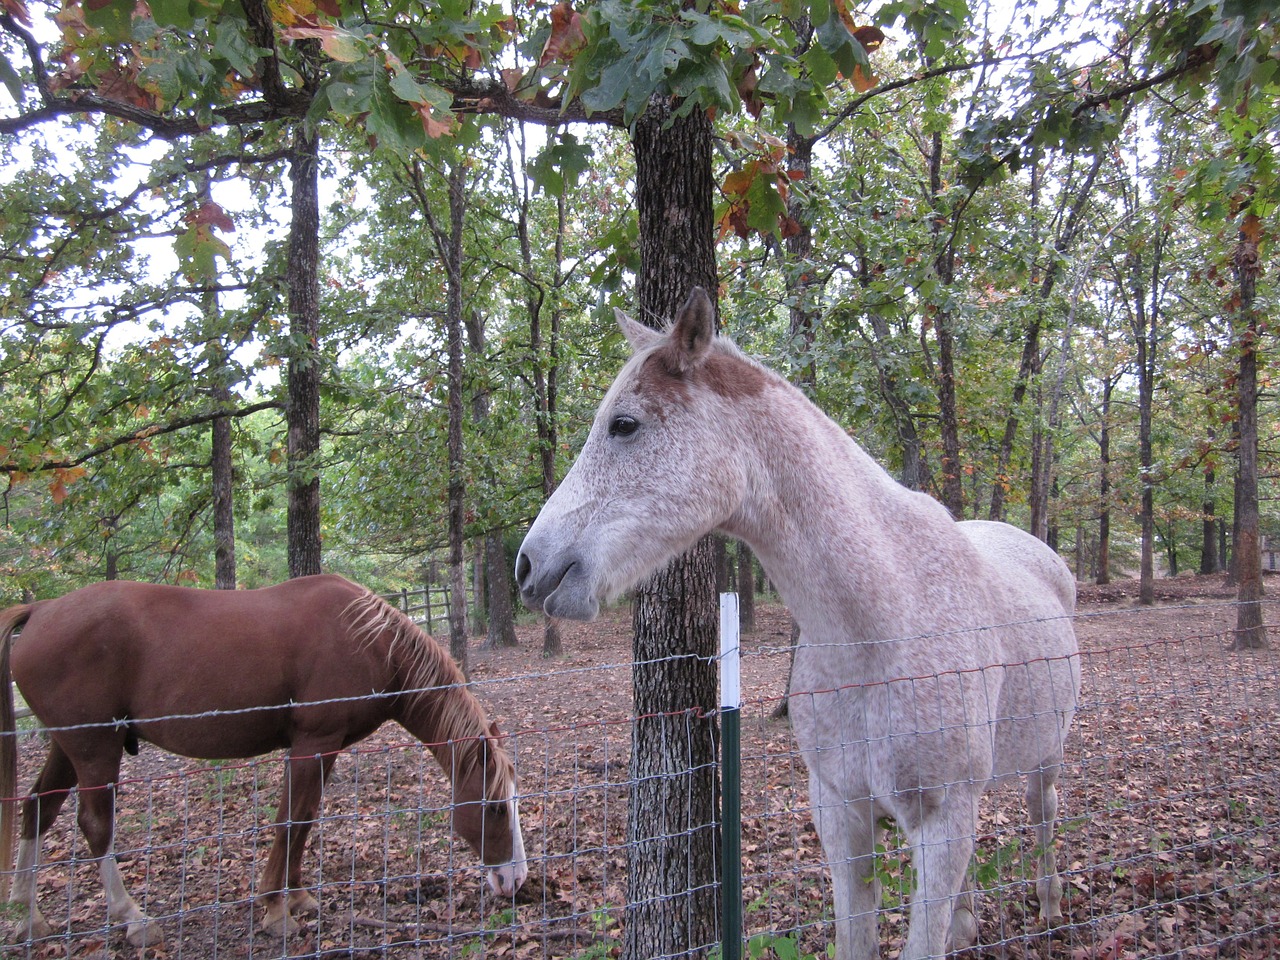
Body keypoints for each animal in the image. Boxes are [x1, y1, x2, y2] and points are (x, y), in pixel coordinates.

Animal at [0, 576, 524, 952]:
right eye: (496, 807)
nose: (514, 880)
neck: (368, 639)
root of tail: (41, 611)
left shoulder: (326, 748)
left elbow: (305, 818)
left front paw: (298, 896)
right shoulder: (312, 743)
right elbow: (290, 820)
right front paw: (275, 910)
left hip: (68, 748)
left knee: (37, 809)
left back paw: (28, 914)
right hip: (95, 750)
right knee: (95, 826)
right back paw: (133, 919)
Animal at [514, 289, 1085, 960]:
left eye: (624, 425)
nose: (530, 566)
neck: (882, 624)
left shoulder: (941, 819)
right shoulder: (840, 812)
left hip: (1046, 759)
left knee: (1043, 814)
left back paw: (1051, 905)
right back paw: (970, 923)